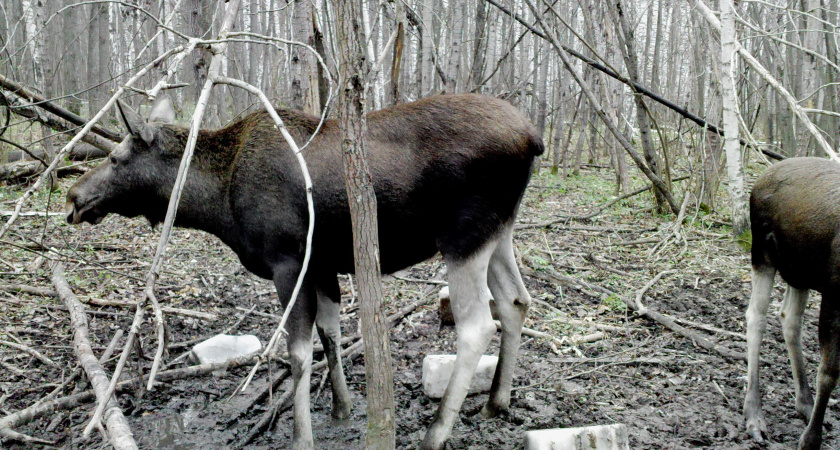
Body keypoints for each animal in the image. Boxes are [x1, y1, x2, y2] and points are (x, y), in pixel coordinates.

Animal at [65, 93, 544, 448]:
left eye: (116, 158)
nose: (73, 197)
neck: (217, 204)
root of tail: (534, 138)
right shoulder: (323, 265)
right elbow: (330, 334)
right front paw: (341, 409)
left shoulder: (288, 262)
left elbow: (296, 353)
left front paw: (301, 437)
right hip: (499, 232)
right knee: (516, 301)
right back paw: (496, 402)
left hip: (463, 238)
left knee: (477, 325)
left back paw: (436, 433)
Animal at [744, 156, 840, 448]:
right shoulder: (833, 293)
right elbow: (829, 372)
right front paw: (811, 439)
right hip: (762, 253)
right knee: (756, 317)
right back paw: (754, 414)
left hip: (799, 272)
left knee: (789, 318)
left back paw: (804, 403)